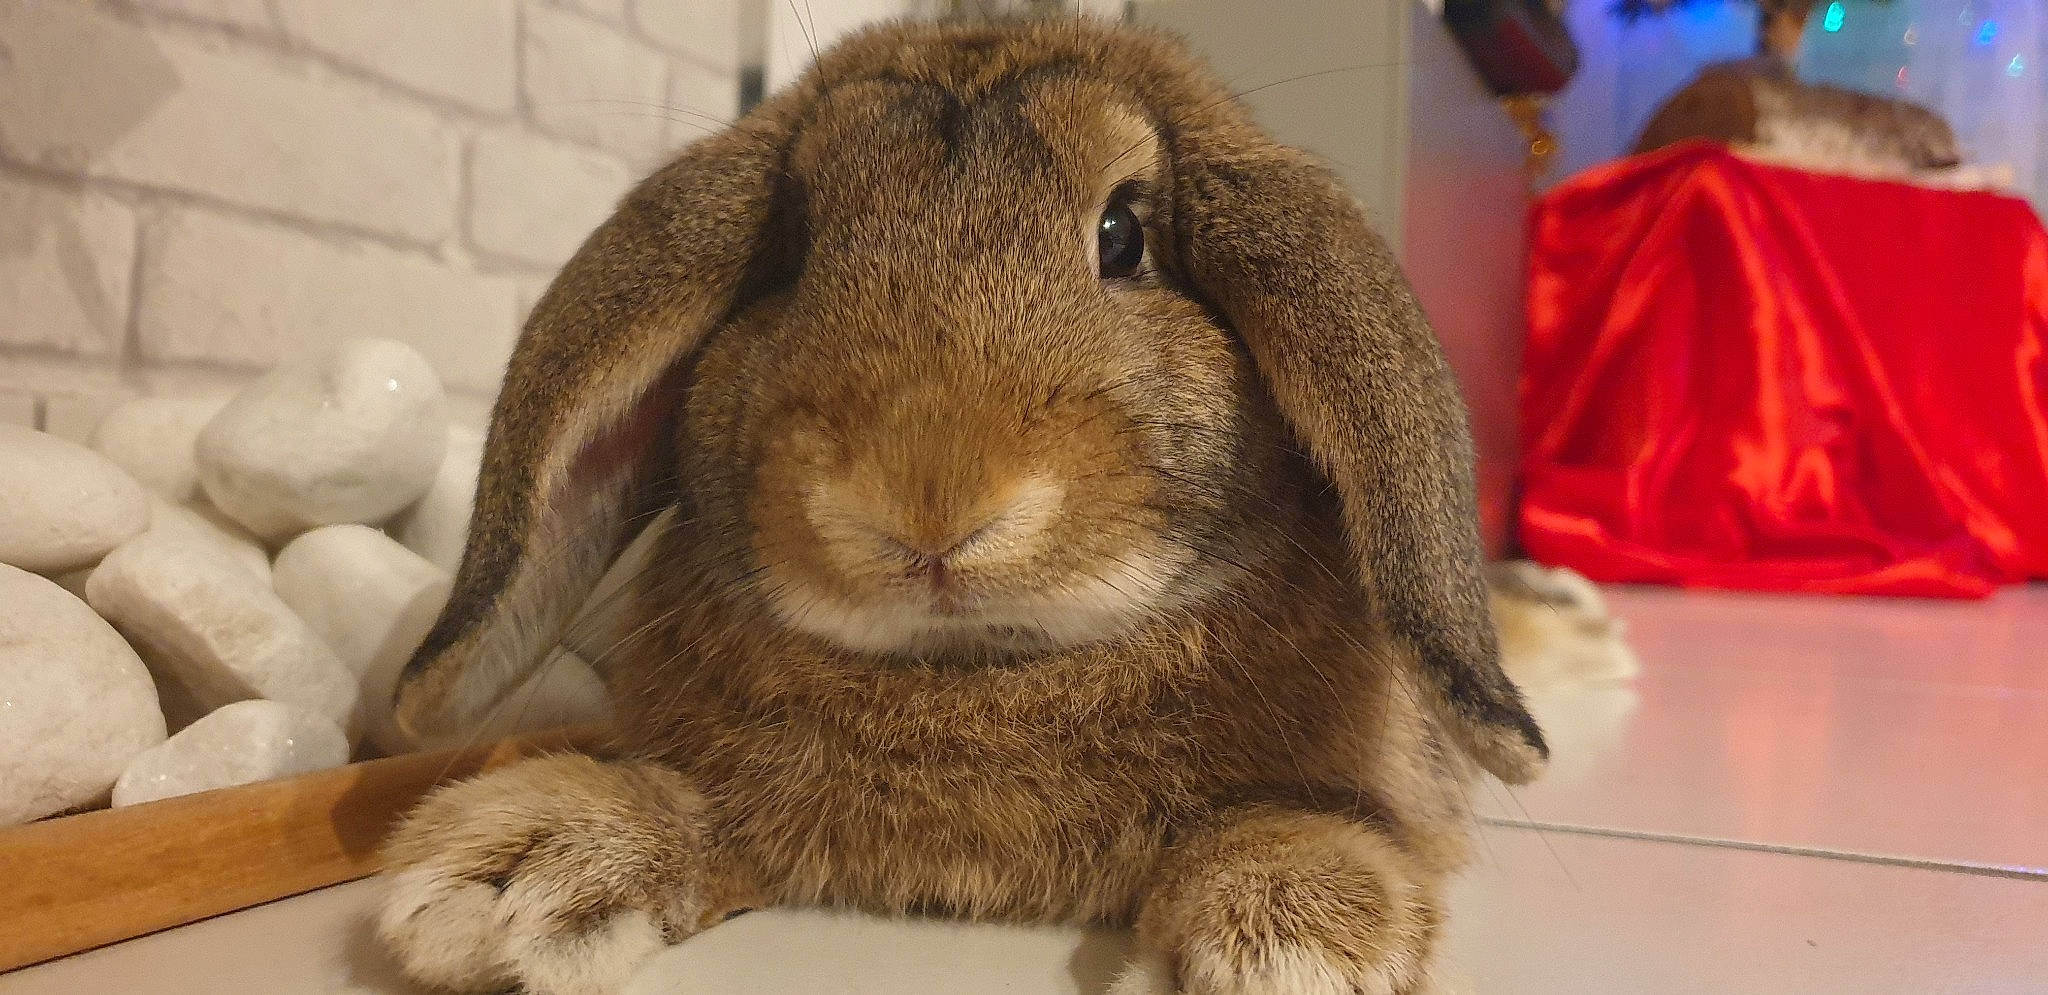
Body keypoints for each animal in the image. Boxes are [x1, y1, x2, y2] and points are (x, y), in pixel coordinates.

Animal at [375, 17, 1602, 995]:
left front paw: (1288, 936)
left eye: (1123, 234)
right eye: (794, 247)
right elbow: (687, 801)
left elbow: (1295, 816)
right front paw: (519, 869)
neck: (976, 672)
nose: (925, 504)